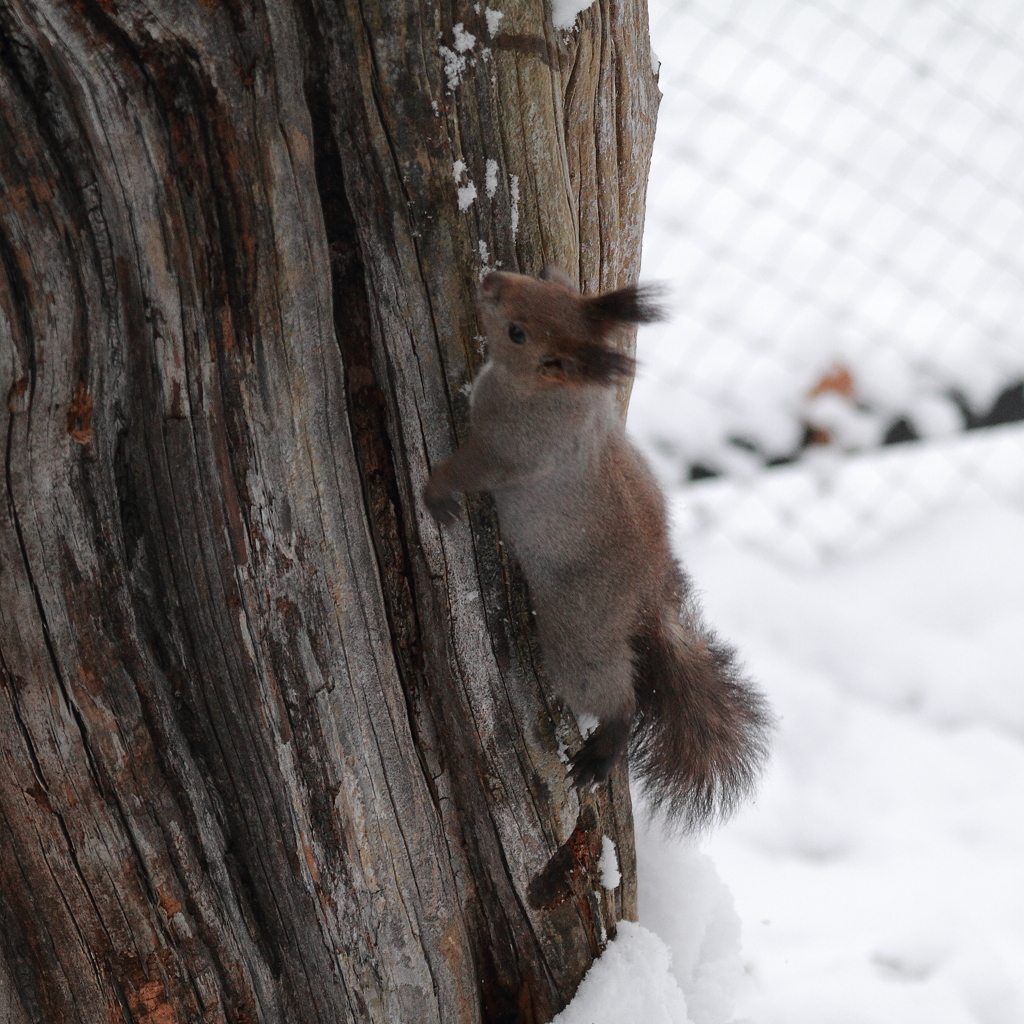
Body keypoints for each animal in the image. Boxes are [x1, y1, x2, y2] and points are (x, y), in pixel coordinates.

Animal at [421, 268, 770, 827]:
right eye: (547, 286)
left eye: (518, 333)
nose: (491, 278)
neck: (559, 392)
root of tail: (649, 595)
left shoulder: (510, 448)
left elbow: (468, 469)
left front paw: (437, 497)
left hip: (579, 636)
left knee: (616, 696)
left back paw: (604, 748)